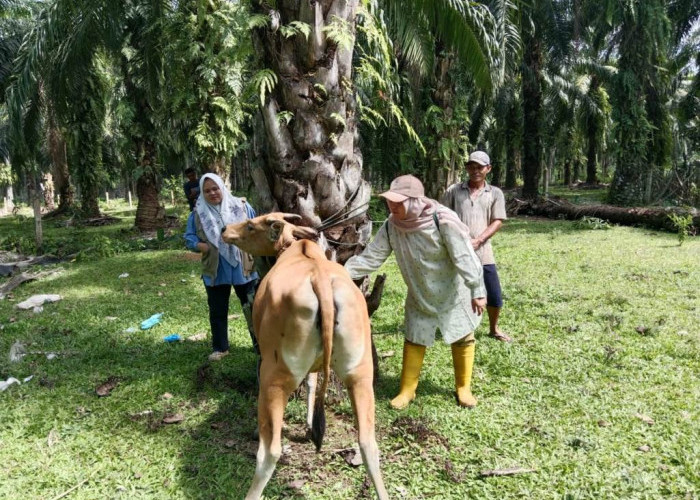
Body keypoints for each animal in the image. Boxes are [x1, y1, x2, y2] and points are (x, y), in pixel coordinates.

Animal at [223, 214, 388, 500]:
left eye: (251, 225)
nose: (224, 229)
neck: (295, 247)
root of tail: (320, 280)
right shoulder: (314, 364)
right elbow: (312, 383)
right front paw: (310, 423)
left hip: (275, 377)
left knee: (270, 451)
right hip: (360, 375)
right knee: (368, 444)